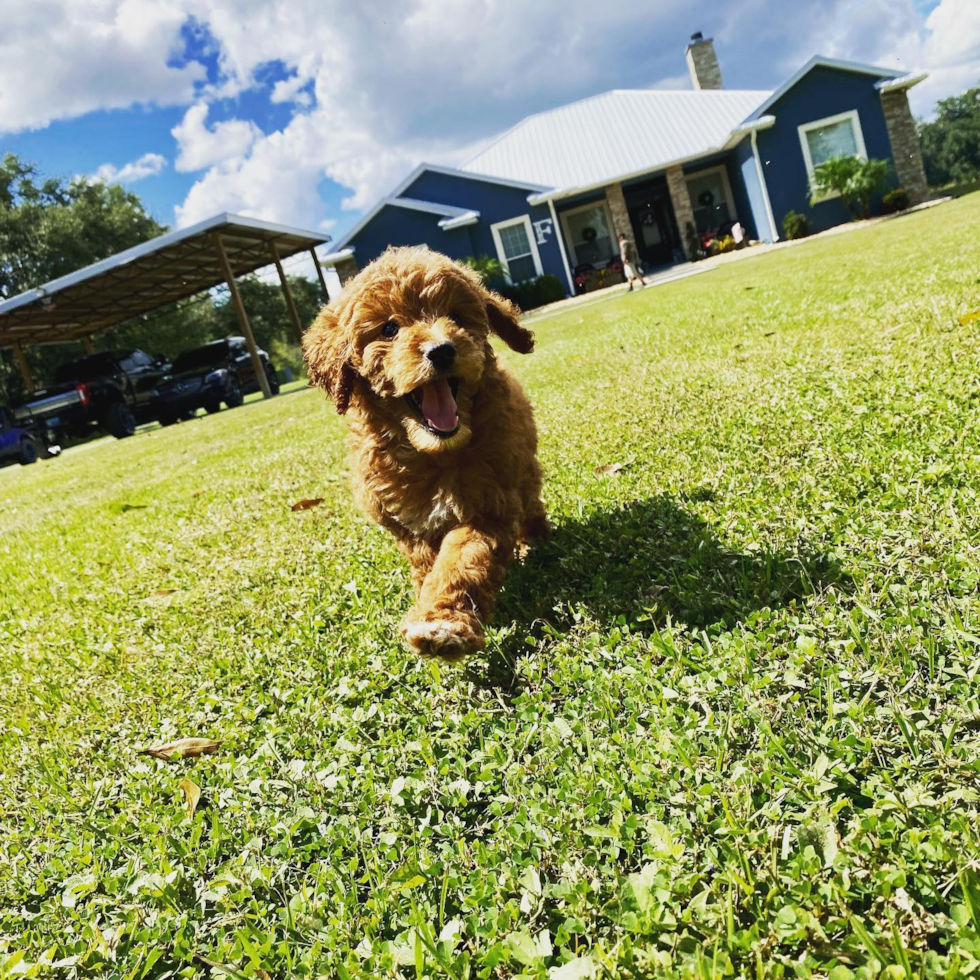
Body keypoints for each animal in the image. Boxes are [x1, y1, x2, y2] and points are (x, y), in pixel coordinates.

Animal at [304, 247, 552, 660]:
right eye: (389, 329)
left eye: (456, 317)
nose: (442, 350)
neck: (431, 451)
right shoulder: (406, 521)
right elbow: (425, 562)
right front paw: (426, 597)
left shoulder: (488, 503)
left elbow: (461, 557)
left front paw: (441, 623)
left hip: (524, 472)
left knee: (531, 504)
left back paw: (536, 541)